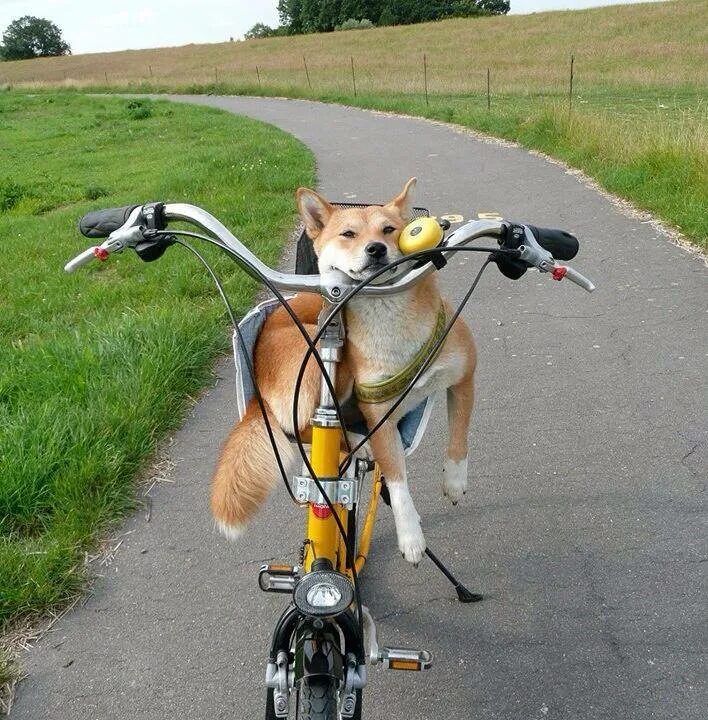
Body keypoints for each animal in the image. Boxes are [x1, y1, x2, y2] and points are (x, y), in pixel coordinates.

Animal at [210, 179, 476, 564]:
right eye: (348, 234)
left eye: (389, 230)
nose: (376, 249)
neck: (393, 323)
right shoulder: (380, 417)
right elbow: (397, 481)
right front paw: (410, 535)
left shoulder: (464, 377)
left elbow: (459, 436)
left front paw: (454, 481)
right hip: (323, 363)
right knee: (303, 429)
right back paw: (353, 442)